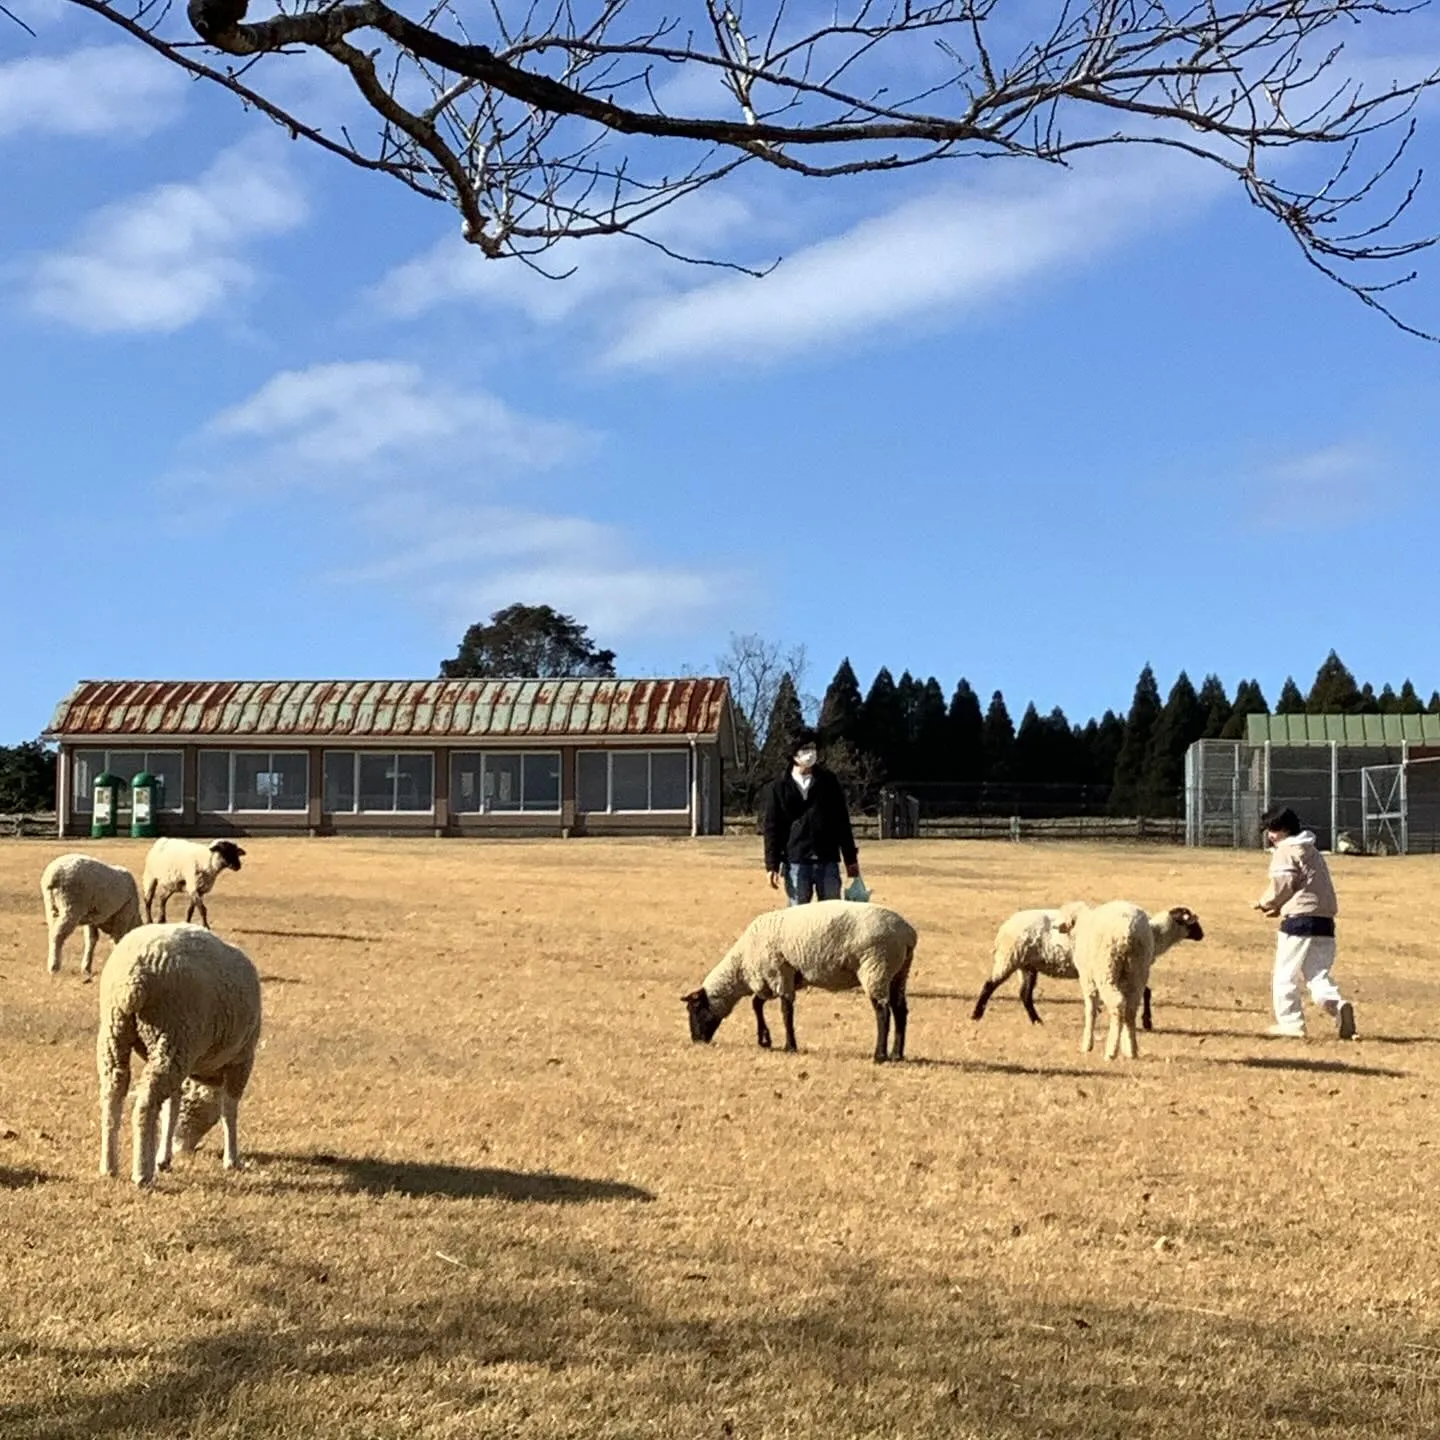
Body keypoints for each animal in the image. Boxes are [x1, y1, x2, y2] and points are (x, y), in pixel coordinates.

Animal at [96, 921, 262, 1192]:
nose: (181, 1148)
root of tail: (135, 976)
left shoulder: (186, 1061)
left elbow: (171, 1108)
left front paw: (164, 1158)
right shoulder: (241, 1059)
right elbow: (229, 1110)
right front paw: (232, 1159)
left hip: (118, 1032)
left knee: (113, 1094)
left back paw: (109, 1166)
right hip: (173, 1034)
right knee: (145, 1104)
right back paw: (142, 1173)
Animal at [682, 892, 910, 1065]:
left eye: (694, 1009)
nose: (696, 1040)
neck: (741, 967)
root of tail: (908, 933)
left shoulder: (778, 974)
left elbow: (785, 1011)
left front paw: (789, 1046)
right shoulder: (773, 978)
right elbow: (757, 1004)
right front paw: (765, 1040)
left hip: (876, 966)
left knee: (882, 1011)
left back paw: (880, 1056)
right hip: (898, 973)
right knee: (900, 1010)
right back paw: (897, 1054)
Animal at [967, 904, 1203, 1031]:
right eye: (1193, 923)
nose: (1202, 935)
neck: (1156, 934)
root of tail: (1005, 926)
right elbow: (1146, 992)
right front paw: (1147, 1021)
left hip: (1027, 965)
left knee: (1025, 994)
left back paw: (1037, 1020)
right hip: (1011, 957)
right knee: (989, 985)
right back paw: (976, 1015)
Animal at [1059, 904, 1157, 1065]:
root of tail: (1128, 929)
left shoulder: (1087, 978)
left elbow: (1090, 1010)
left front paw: (1087, 1045)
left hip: (1106, 968)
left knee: (1118, 1004)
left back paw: (1111, 1052)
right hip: (1138, 970)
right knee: (1130, 1008)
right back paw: (1131, 1050)